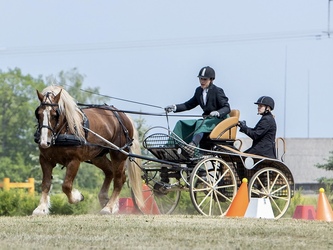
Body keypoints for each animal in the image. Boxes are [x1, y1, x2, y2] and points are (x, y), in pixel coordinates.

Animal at [32, 86, 143, 215]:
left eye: (55, 114)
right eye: (38, 114)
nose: (44, 142)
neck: (64, 131)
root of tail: (123, 115)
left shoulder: (74, 160)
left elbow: (66, 186)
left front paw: (77, 197)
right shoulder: (45, 159)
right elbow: (45, 184)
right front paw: (41, 208)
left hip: (118, 154)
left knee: (119, 179)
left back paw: (109, 207)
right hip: (98, 156)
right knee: (111, 172)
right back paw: (108, 202)